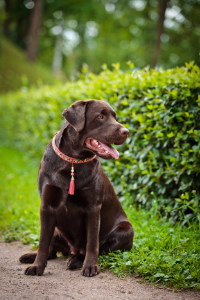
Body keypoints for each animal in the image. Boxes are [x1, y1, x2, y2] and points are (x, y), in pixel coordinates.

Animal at [19, 100, 134, 276]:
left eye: (115, 117)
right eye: (100, 116)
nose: (126, 132)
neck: (72, 161)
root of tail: (71, 250)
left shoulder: (93, 208)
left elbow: (92, 242)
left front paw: (90, 266)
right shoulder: (46, 206)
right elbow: (43, 241)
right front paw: (37, 266)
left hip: (126, 230)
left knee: (94, 248)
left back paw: (75, 260)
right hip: (56, 231)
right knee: (51, 250)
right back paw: (29, 257)